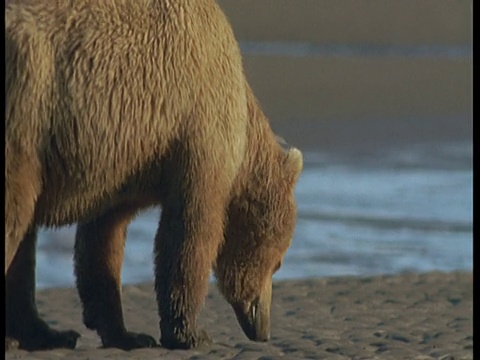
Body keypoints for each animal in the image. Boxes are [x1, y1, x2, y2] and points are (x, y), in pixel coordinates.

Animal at [4, 0, 304, 350]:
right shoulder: (196, 127)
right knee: (15, 217)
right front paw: (191, 333)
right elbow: (190, 230)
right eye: (279, 262)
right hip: (30, 104)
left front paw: (126, 333)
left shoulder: (122, 163)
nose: (264, 329)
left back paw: (47, 332)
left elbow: (102, 240)